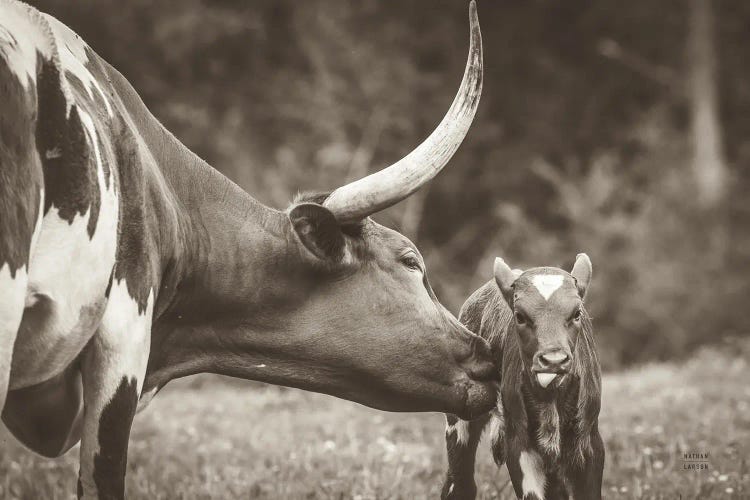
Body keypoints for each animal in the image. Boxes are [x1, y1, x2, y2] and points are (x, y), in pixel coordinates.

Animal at [440, 256, 604, 498]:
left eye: (577, 313)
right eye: (520, 316)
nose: (554, 360)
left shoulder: (589, 441)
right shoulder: (519, 445)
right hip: (460, 420)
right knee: (459, 484)